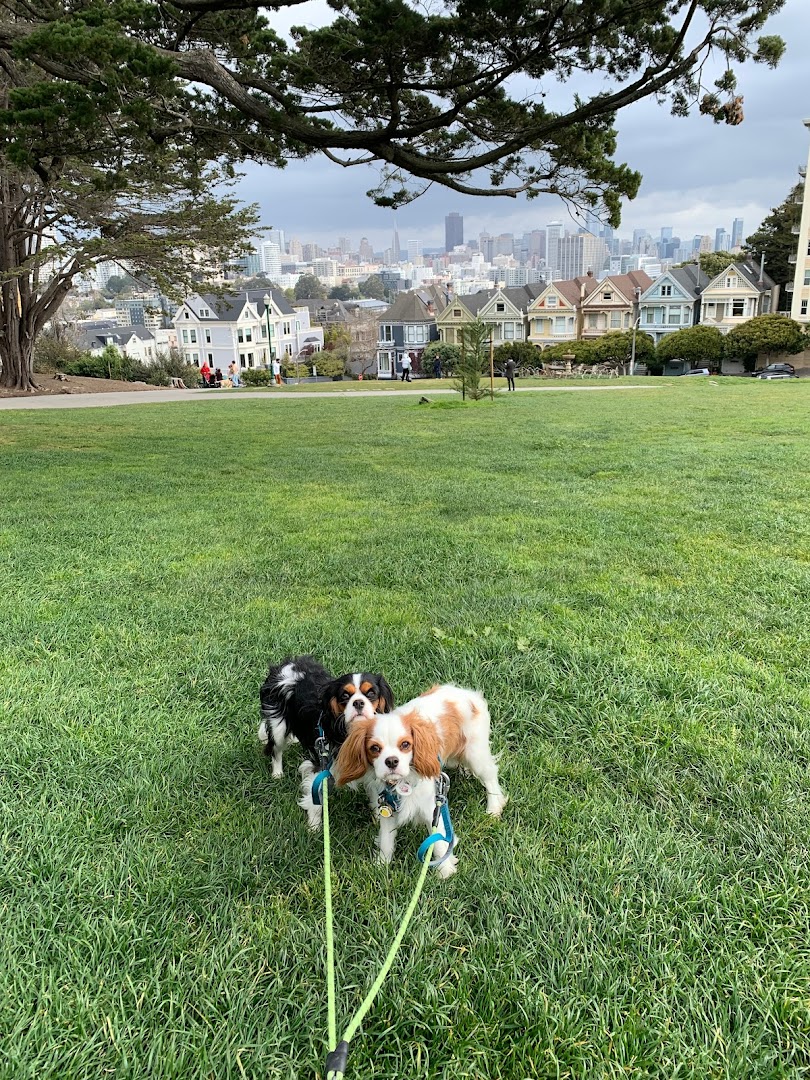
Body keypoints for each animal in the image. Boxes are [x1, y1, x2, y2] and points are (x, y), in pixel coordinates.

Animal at [258, 656, 395, 825]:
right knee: (276, 750)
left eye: (371, 693)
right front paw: (314, 826)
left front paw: (379, 820)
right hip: (277, 726)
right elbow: (315, 799)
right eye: (345, 695)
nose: (358, 702)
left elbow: (376, 796)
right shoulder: (321, 763)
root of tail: (288, 664)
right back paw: (277, 774)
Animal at [336, 682, 507, 876]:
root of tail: (468, 693)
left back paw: (493, 808)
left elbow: (438, 841)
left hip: (475, 753)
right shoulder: (387, 809)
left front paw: (445, 871)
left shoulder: (432, 809)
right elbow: (386, 840)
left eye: (405, 745)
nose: (391, 761)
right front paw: (381, 866)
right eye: (374, 748)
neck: (401, 784)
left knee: (490, 777)